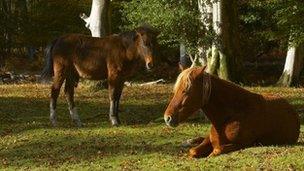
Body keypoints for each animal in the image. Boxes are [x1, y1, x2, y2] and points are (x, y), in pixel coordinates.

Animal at [164, 66, 300, 158]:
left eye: (186, 90)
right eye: (176, 89)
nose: (167, 118)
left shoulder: (242, 143)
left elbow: (216, 150)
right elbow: (193, 151)